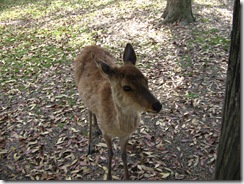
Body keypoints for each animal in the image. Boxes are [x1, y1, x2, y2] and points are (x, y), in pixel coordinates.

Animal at [74, 43, 162, 180]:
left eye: (146, 79)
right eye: (126, 87)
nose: (157, 105)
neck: (118, 128)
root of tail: (89, 46)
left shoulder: (126, 135)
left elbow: (123, 155)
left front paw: (127, 177)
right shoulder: (106, 133)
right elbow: (110, 153)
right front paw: (109, 177)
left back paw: (96, 128)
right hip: (81, 94)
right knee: (89, 112)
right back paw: (89, 146)